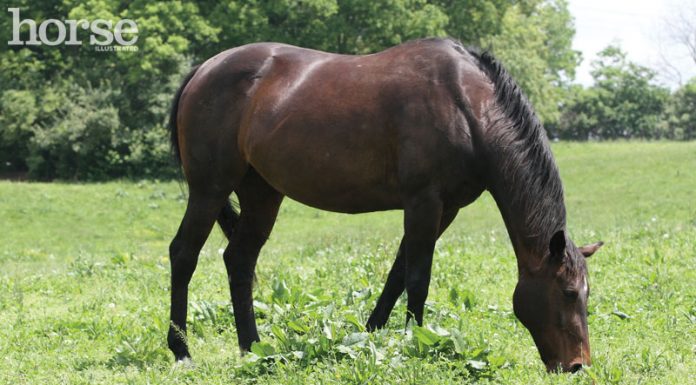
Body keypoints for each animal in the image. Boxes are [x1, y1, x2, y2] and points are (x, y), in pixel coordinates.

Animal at [166, 37, 600, 370]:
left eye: (586, 293)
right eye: (567, 293)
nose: (577, 365)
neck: (465, 105)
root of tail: (203, 70)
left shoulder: (445, 209)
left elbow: (397, 274)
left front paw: (371, 335)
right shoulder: (424, 201)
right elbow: (418, 278)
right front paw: (415, 343)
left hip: (261, 194)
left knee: (239, 260)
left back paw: (253, 348)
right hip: (209, 189)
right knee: (184, 254)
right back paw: (182, 351)